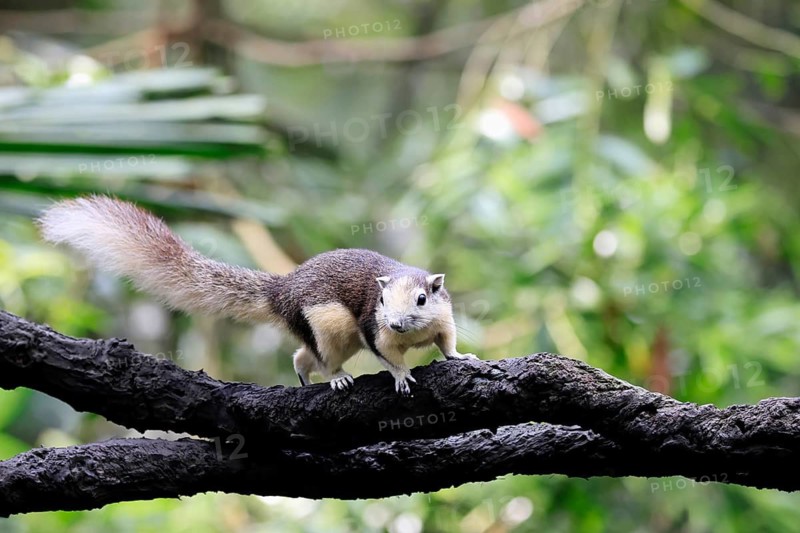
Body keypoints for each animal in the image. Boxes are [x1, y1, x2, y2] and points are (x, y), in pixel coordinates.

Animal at [37, 195, 478, 395]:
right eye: (382, 302)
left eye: (422, 299)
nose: (397, 323)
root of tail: (282, 292)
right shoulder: (374, 330)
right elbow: (388, 355)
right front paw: (401, 375)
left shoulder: (444, 319)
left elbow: (447, 343)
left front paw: (462, 357)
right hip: (329, 324)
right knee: (319, 357)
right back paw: (334, 378)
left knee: (302, 356)